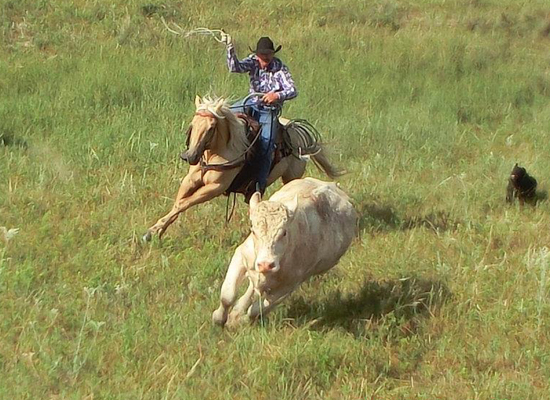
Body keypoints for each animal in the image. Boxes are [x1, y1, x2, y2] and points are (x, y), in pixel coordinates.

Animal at [143, 95, 340, 242]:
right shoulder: (190, 180)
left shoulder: (215, 188)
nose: (190, 156)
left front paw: (154, 231)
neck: (216, 152)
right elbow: (179, 203)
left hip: (292, 177)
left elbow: (185, 203)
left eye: (211, 127)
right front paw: (155, 231)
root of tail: (296, 130)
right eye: (193, 124)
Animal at [211, 178, 358, 328]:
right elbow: (228, 295)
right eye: (253, 230)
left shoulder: (290, 284)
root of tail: (331, 184)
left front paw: (239, 320)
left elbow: (257, 310)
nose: (266, 264)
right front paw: (218, 318)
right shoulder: (241, 256)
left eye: (284, 232)